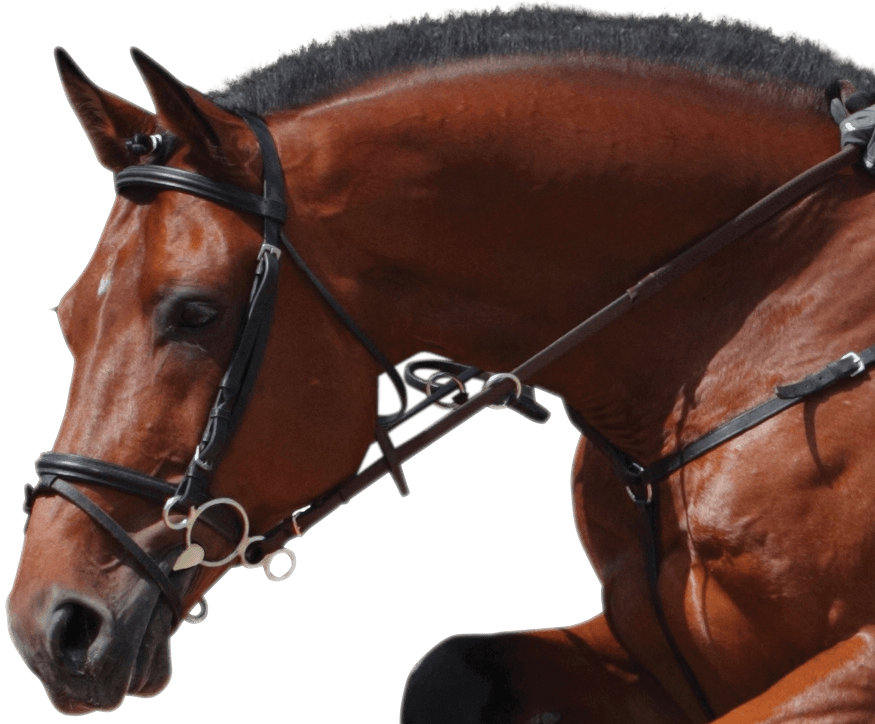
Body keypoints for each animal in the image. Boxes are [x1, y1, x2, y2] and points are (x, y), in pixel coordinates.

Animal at [7, 8, 874, 721]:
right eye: (70, 318)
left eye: (194, 313)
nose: (52, 628)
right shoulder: (650, 659)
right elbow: (447, 668)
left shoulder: (848, 664)